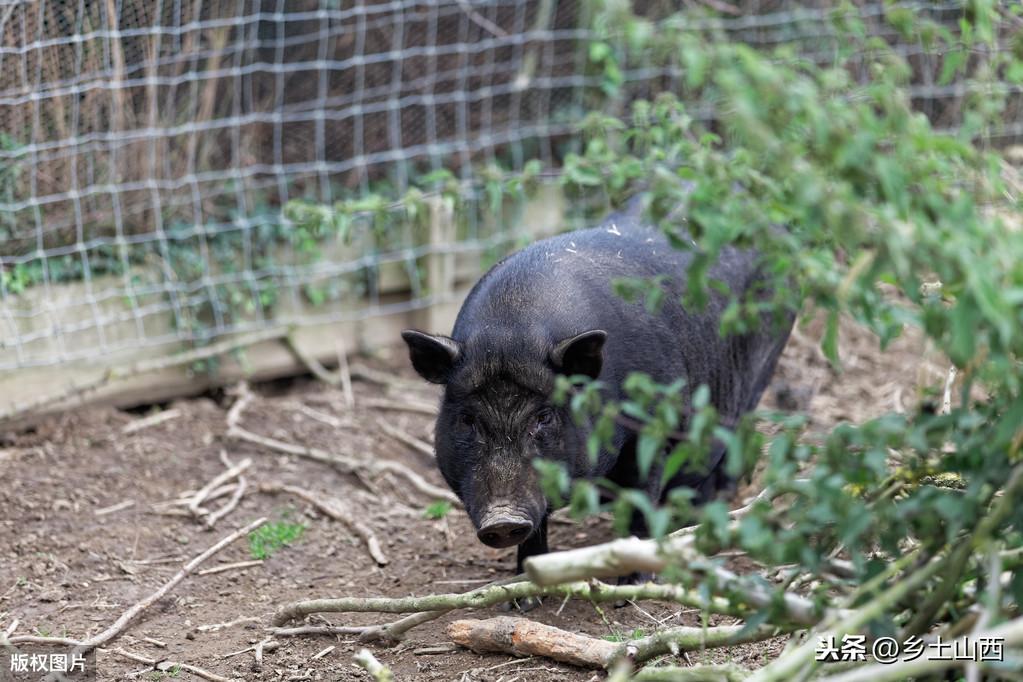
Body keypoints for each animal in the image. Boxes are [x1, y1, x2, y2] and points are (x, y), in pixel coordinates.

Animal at [398, 198, 789, 576]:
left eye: (544, 417)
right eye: (467, 420)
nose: (502, 519)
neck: (509, 332)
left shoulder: (651, 432)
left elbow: (641, 506)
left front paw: (632, 581)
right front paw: (526, 580)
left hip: (761, 367)